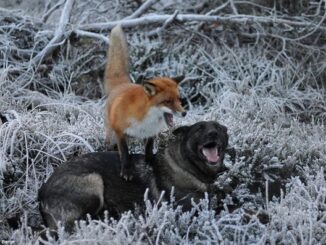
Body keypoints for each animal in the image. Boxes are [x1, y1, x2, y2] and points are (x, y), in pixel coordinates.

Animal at [38, 120, 227, 232]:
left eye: (218, 127)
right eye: (199, 129)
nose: (214, 133)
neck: (186, 165)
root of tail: (41, 192)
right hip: (94, 181)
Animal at [104, 25, 186, 180]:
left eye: (179, 99)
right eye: (168, 101)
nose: (184, 113)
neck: (145, 118)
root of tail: (122, 85)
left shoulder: (151, 132)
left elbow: (148, 147)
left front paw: (150, 161)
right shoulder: (119, 131)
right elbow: (125, 153)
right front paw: (127, 170)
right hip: (110, 133)